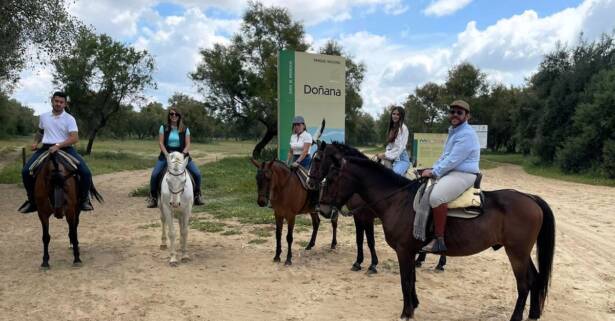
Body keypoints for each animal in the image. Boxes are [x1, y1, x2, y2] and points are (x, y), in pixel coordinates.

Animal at [320, 156, 556, 318]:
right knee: (535, 279)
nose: (322, 209)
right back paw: (534, 314)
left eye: (331, 179)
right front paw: (414, 305)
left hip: (516, 253)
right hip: (522, 254)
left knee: (524, 284)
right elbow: (412, 279)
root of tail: (530, 198)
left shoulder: (403, 251)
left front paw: (406, 312)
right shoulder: (411, 251)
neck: (397, 201)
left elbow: (405, 280)